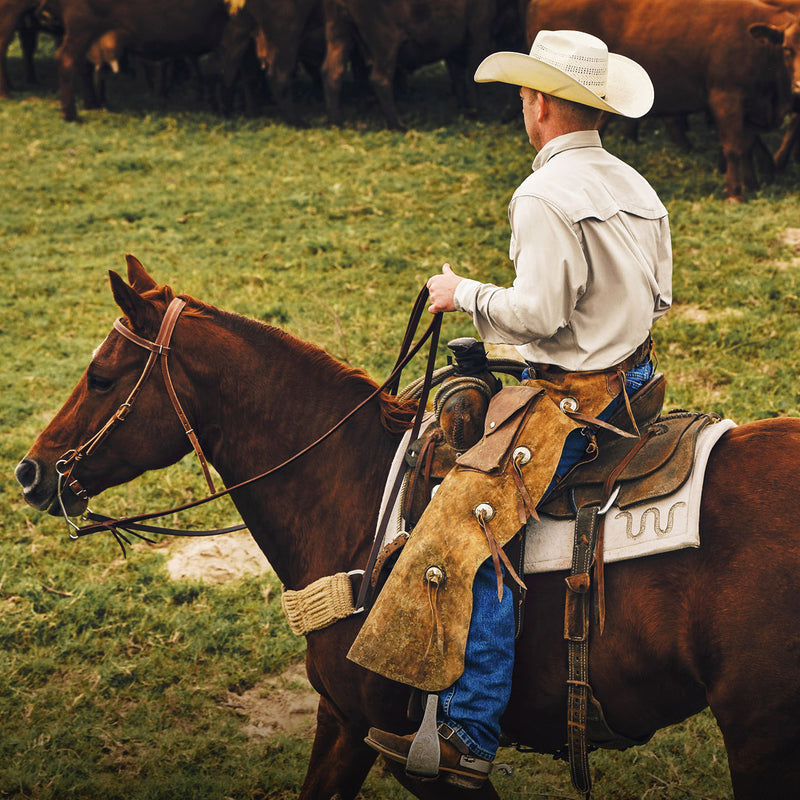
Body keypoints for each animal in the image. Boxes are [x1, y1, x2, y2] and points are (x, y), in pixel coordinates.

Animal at [14, 258, 800, 800]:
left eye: (103, 378)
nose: (30, 472)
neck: (355, 492)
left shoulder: (418, 761)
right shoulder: (343, 723)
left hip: (762, 738)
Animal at [318, 0, 512, 127]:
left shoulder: (453, 44)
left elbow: (457, 75)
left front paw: (464, 106)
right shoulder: (479, 31)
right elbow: (472, 73)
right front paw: (475, 110)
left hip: (338, 31)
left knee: (332, 73)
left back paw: (337, 122)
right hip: (384, 42)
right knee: (380, 79)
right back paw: (399, 124)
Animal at [524, 0, 800, 199]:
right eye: (788, 49)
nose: (798, 86)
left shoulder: (752, 105)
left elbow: (748, 144)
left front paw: (752, 184)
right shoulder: (725, 97)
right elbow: (734, 147)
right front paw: (735, 193)